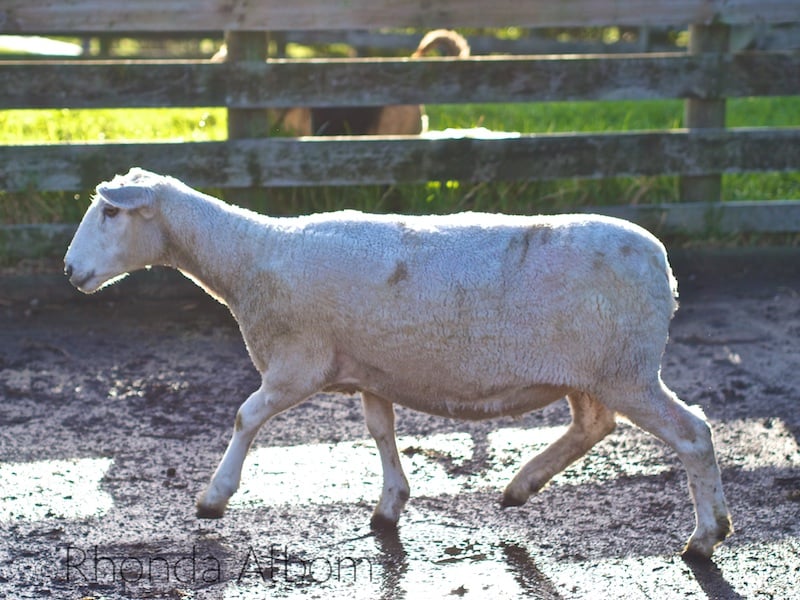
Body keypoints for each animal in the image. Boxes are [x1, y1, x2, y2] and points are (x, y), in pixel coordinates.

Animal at [64, 168, 732, 559]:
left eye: (111, 212)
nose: (70, 271)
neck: (251, 256)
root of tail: (662, 263)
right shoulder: (368, 369)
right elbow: (381, 431)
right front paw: (390, 505)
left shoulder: (298, 363)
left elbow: (245, 416)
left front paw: (213, 498)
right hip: (595, 372)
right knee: (593, 426)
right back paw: (520, 486)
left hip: (625, 368)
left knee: (692, 434)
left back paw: (705, 537)